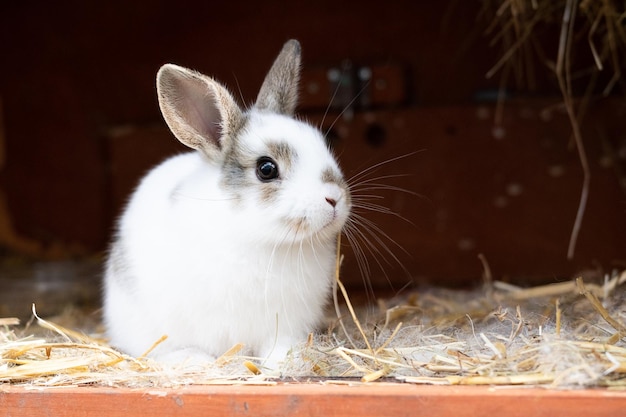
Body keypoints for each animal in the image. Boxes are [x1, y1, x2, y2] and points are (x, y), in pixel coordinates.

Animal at [103, 39, 352, 368]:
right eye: (266, 169)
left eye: (323, 144)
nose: (334, 198)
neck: (265, 240)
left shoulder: (283, 323)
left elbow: (279, 345)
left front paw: (288, 361)